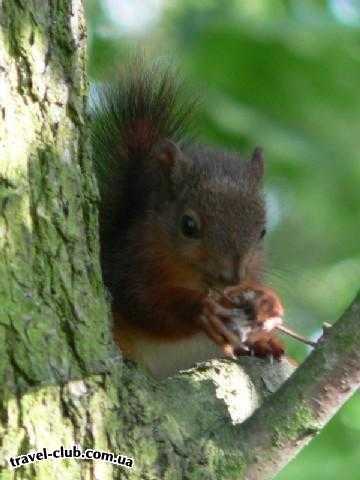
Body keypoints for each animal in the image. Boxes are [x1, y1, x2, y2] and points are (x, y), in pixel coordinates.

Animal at [91, 60, 286, 376]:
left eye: (263, 232)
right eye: (188, 226)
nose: (232, 276)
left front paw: (267, 303)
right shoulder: (126, 266)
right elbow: (146, 304)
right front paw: (199, 309)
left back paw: (263, 344)